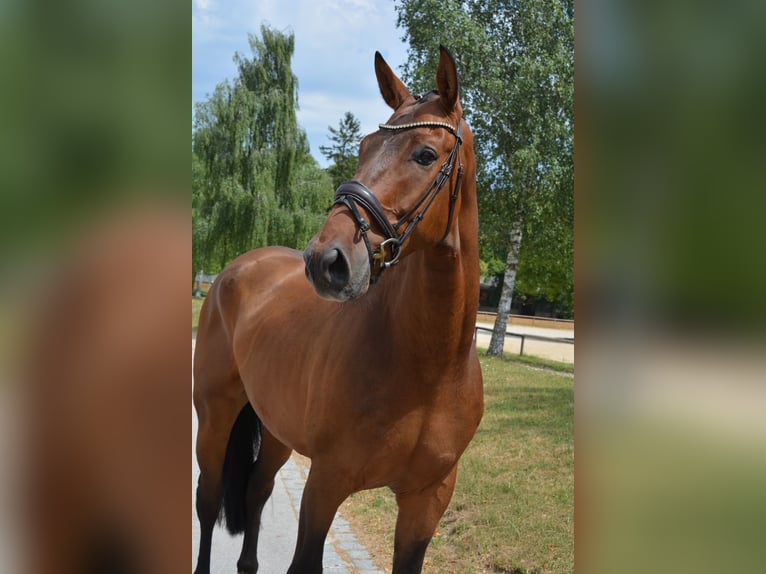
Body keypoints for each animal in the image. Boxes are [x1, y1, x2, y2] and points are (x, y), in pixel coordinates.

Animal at [193, 46, 483, 574]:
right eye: (364, 147)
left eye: (425, 154)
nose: (325, 261)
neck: (429, 369)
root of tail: (235, 269)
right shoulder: (326, 485)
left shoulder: (426, 502)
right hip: (214, 415)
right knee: (207, 499)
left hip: (277, 430)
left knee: (255, 491)